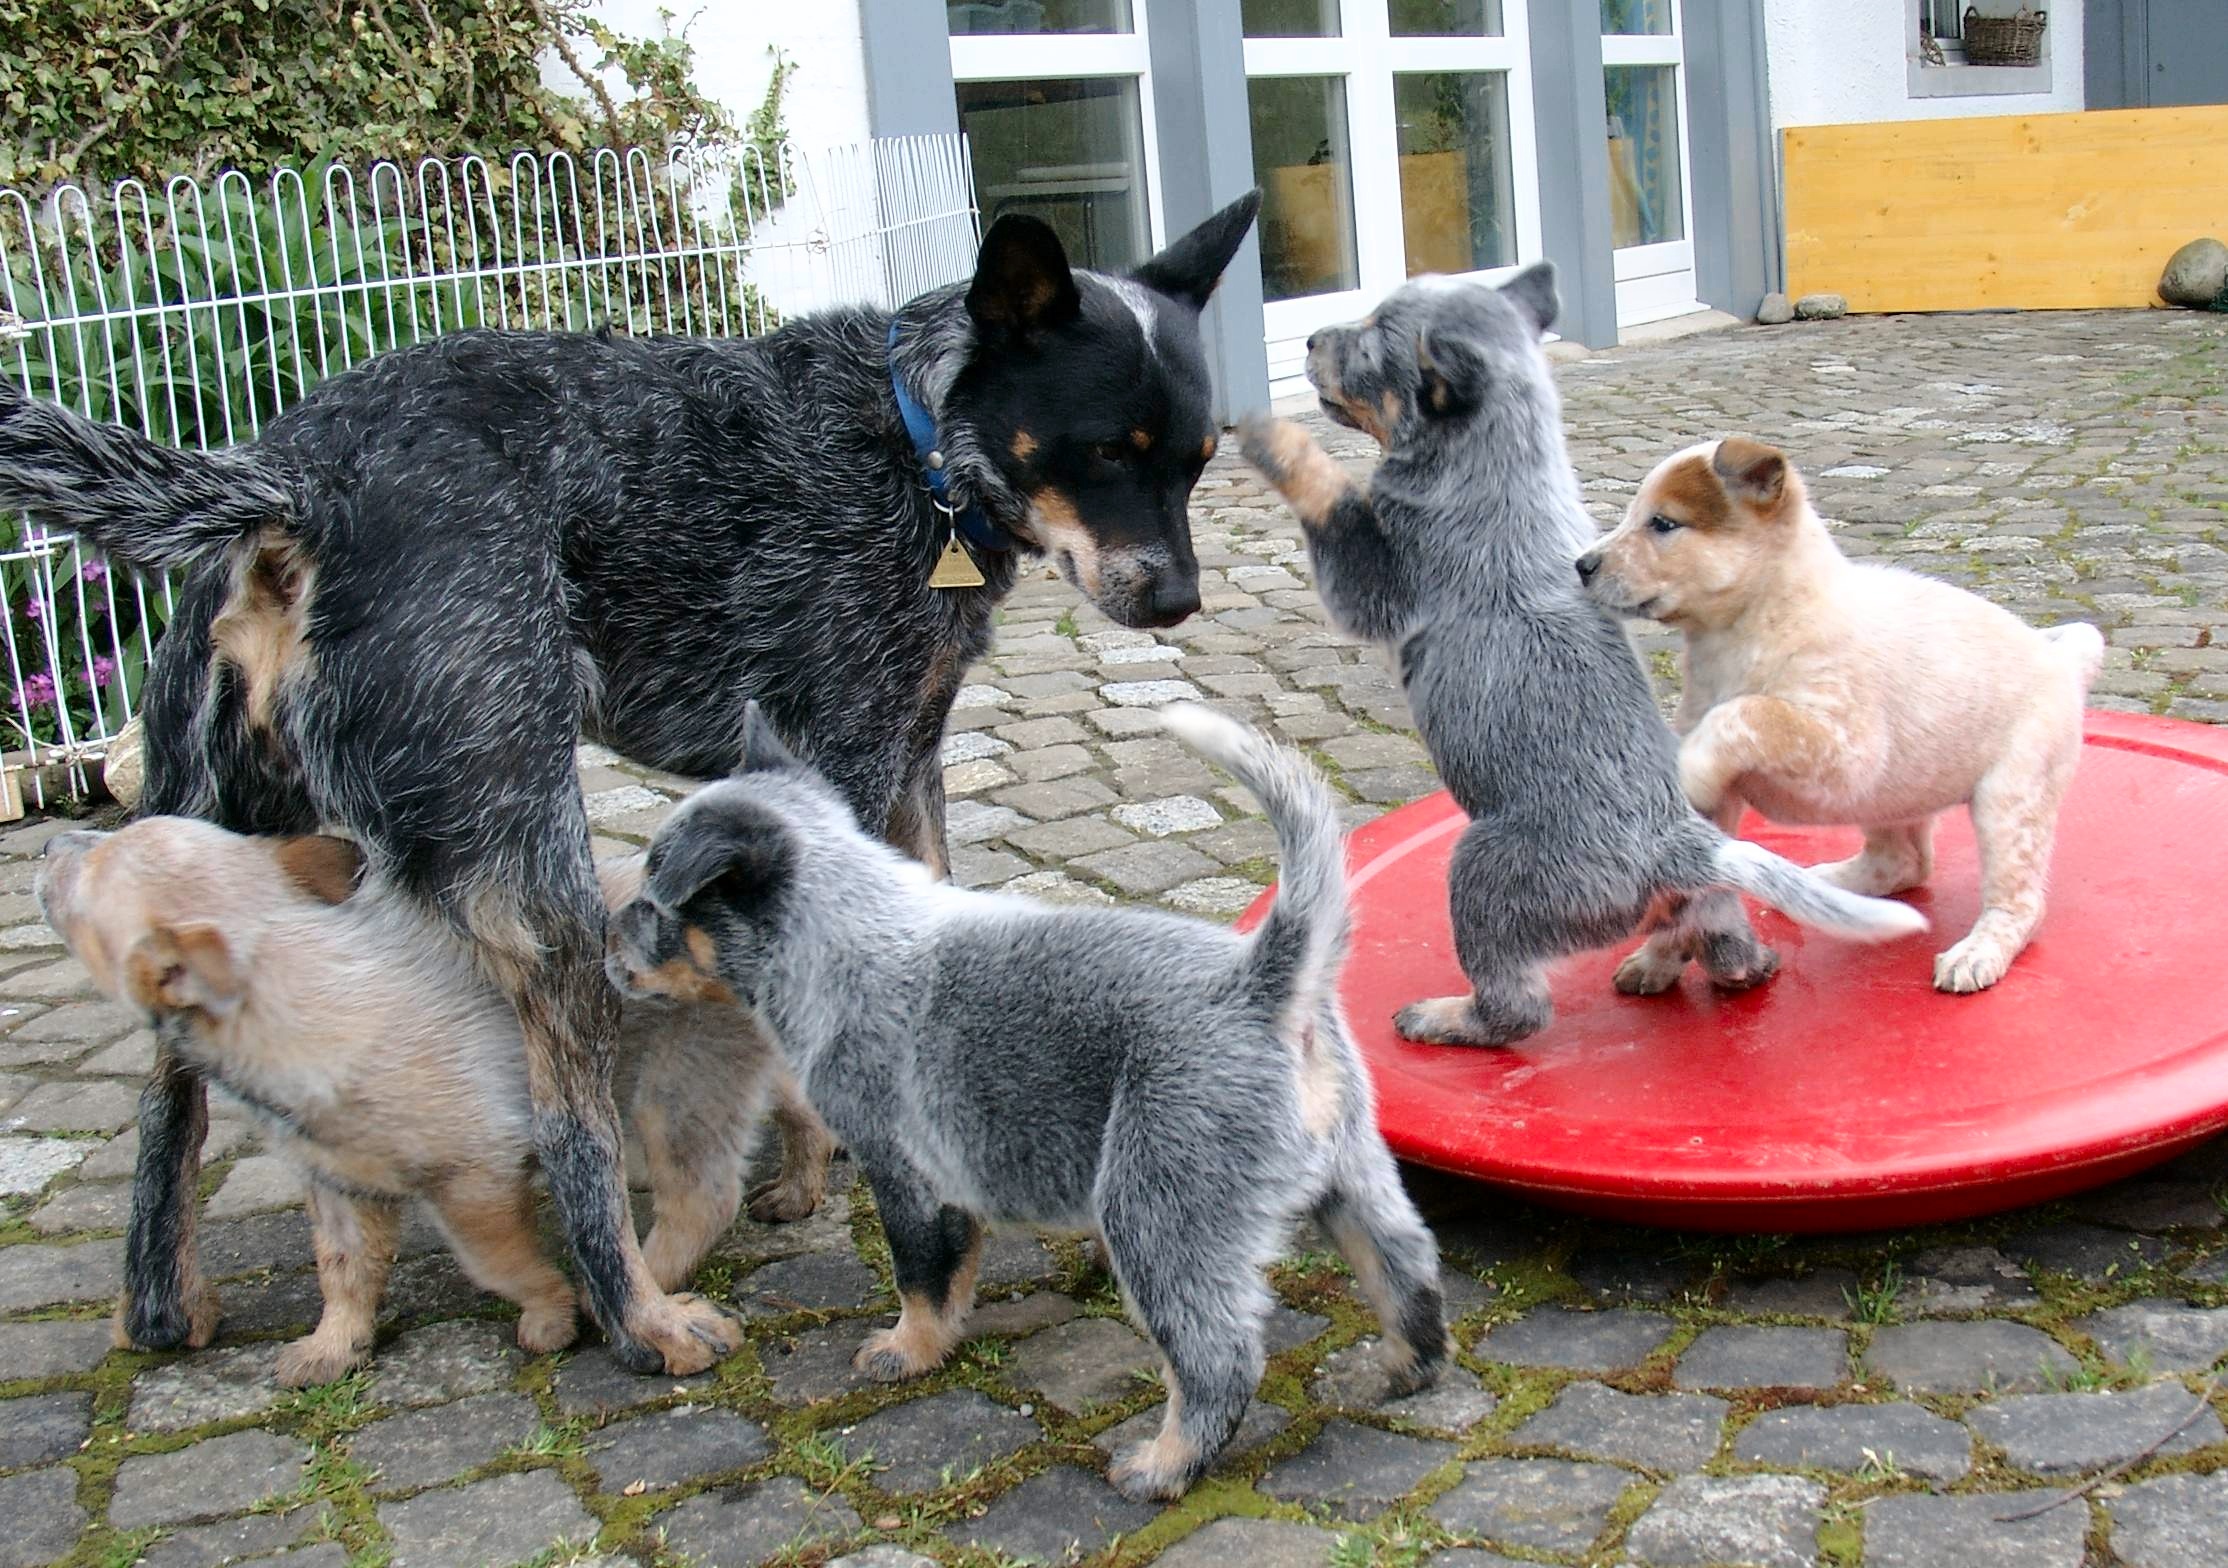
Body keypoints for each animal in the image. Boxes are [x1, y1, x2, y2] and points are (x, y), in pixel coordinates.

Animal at [39, 819, 833, 1380]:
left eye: (87, 878)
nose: (48, 842)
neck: (309, 1002)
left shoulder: (475, 1179)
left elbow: (498, 1261)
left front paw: (551, 1311)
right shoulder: (336, 1184)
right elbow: (342, 1270)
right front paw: (331, 1346)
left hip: (676, 1087)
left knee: (702, 1198)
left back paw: (648, 1289)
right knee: (803, 1116)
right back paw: (798, 1188)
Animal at [610, 699, 1443, 1496]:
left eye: (654, 899)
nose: (603, 940)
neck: (841, 932)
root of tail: (1262, 985)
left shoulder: (904, 1171)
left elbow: (920, 1275)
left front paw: (906, 1351)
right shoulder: (955, 1178)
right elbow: (955, 1271)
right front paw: (938, 1338)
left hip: (1159, 1206)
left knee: (1218, 1356)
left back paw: (1163, 1468)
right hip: (1351, 1172)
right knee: (1404, 1266)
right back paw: (1409, 1368)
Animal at [1568, 432, 2103, 993]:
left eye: (1664, 523)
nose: (1582, 565)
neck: (1747, 631)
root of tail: (2063, 661)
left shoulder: (1841, 748)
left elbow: (1749, 713)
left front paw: (1688, 766)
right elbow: (1691, 894)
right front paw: (1656, 961)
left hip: (2010, 800)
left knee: (2019, 902)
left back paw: (1977, 953)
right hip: (1896, 794)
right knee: (1906, 862)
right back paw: (1829, 886)